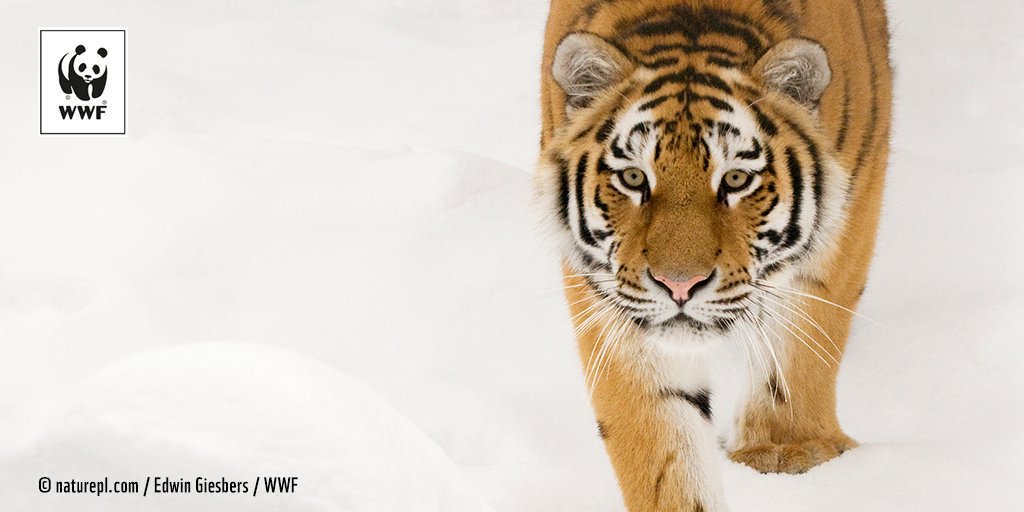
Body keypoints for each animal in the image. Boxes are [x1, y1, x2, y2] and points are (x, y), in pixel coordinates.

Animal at [534, 0, 892, 510]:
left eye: (737, 179)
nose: (679, 285)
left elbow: (802, 338)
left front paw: (786, 451)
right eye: (634, 178)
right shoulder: (613, 298)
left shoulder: (850, 210)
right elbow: (663, 442)